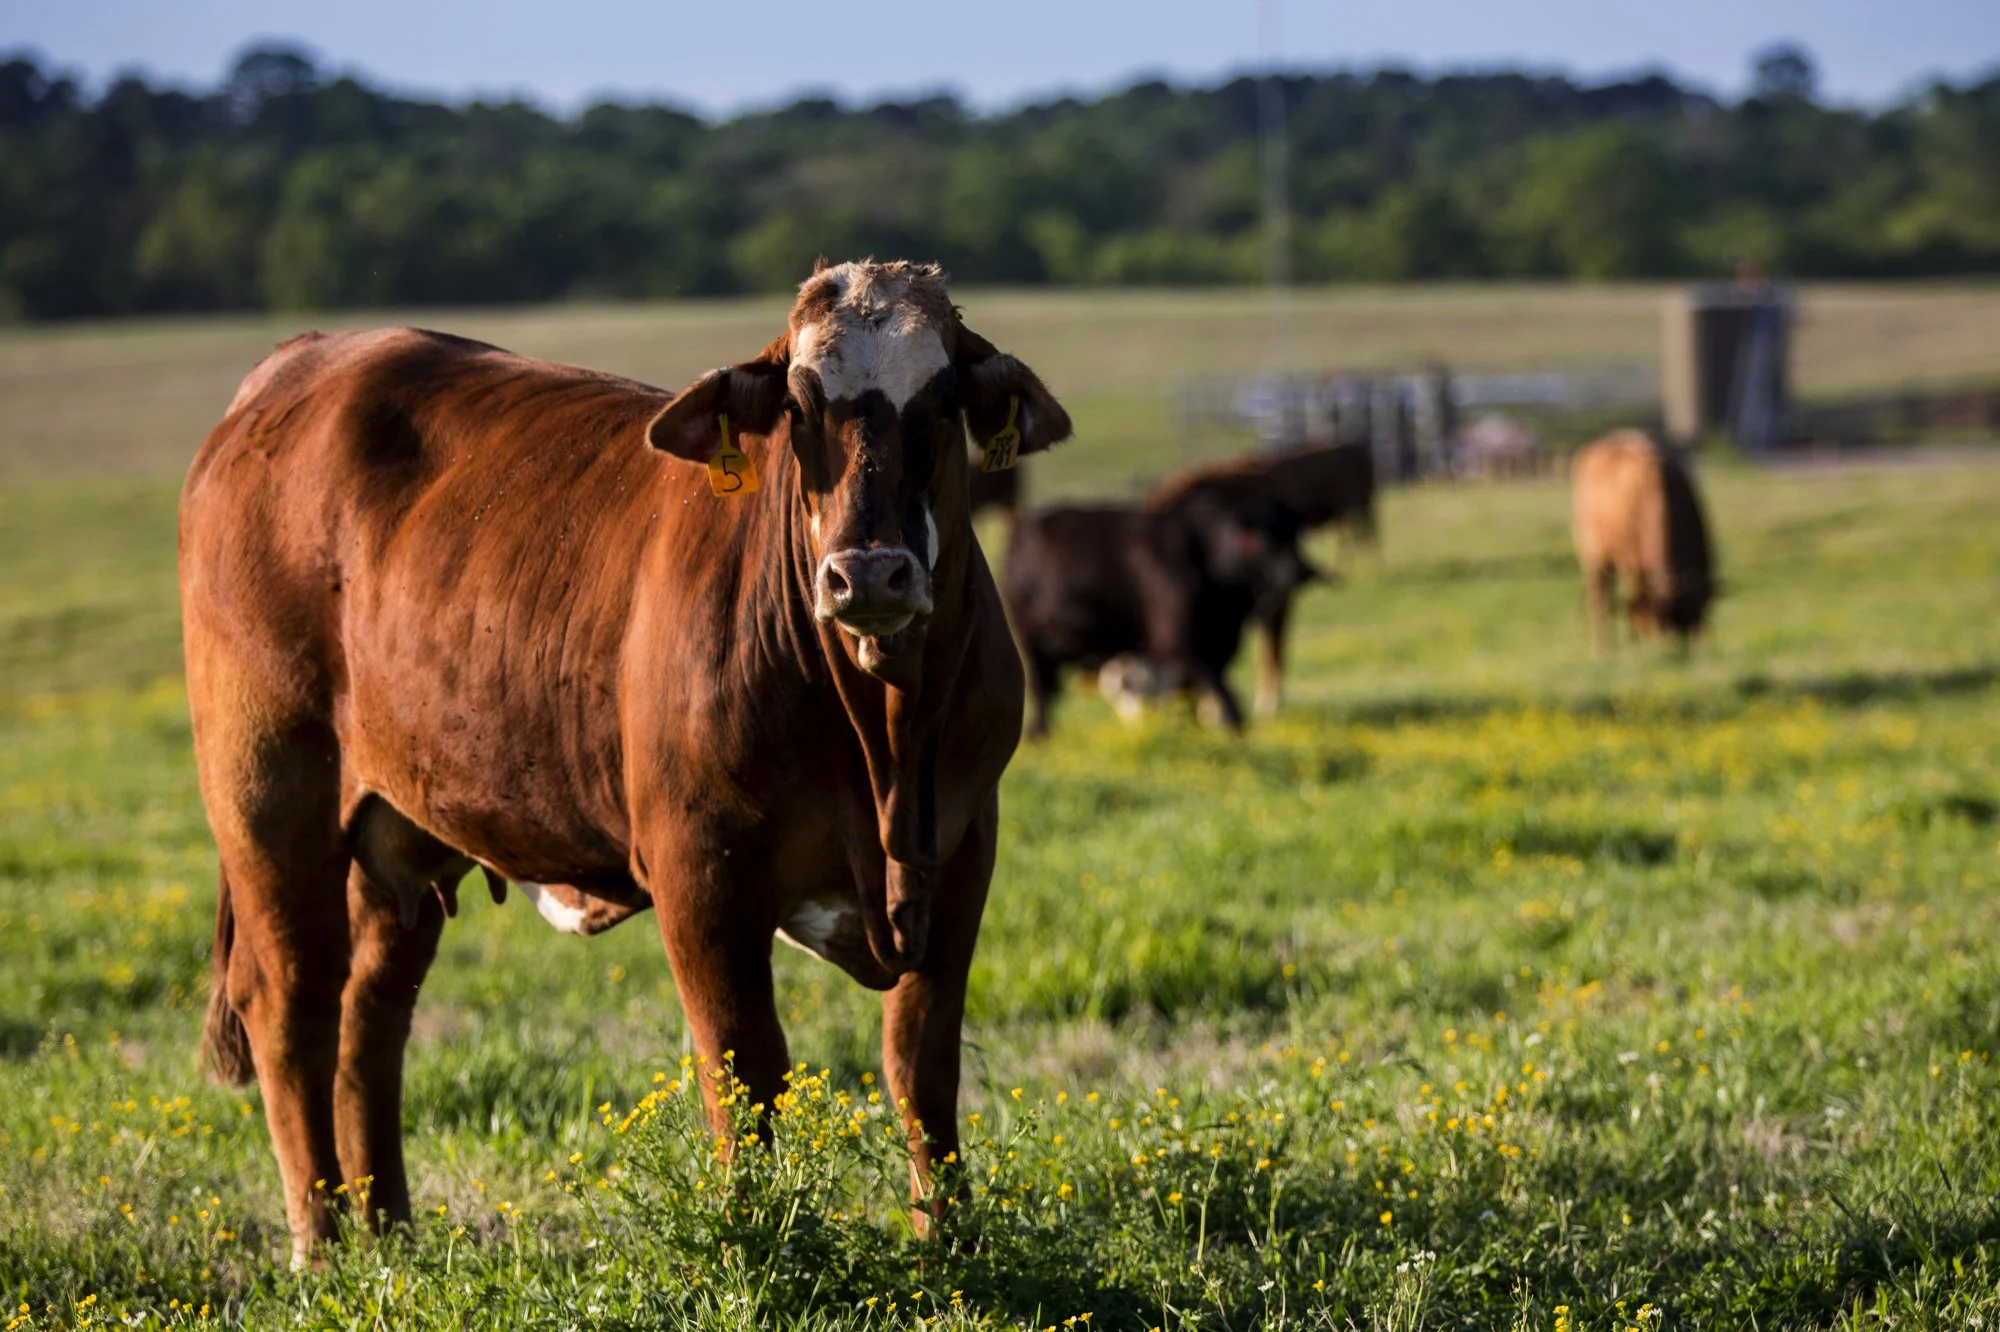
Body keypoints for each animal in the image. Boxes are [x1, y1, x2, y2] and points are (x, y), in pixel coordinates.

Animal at [178, 259, 1071, 1263]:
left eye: (944, 398)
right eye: (799, 405)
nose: (868, 573)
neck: (882, 741)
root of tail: (304, 361)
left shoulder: (960, 849)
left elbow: (923, 1068)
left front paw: (945, 1247)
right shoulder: (701, 868)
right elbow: (745, 1071)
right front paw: (753, 1245)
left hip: (398, 826)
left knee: (372, 1017)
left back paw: (391, 1234)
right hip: (267, 794)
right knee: (290, 1003)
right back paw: (322, 1243)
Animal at [1001, 494, 1317, 737]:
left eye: (1297, 534)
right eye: (1261, 538)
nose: (1303, 571)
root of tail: (1026, 525)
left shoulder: (1219, 645)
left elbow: (1197, 690)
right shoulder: (1176, 643)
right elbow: (1218, 688)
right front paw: (1235, 729)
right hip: (1031, 637)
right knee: (1041, 686)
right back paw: (1040, 735)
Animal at [1570, 429, 1716, 652]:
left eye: (1698, 620)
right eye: (1662, 627)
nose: (1677, 652)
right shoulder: (1632, 564)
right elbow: (1638, 602)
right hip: (1594, 558)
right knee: (1601, 601)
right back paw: (1605, 649)